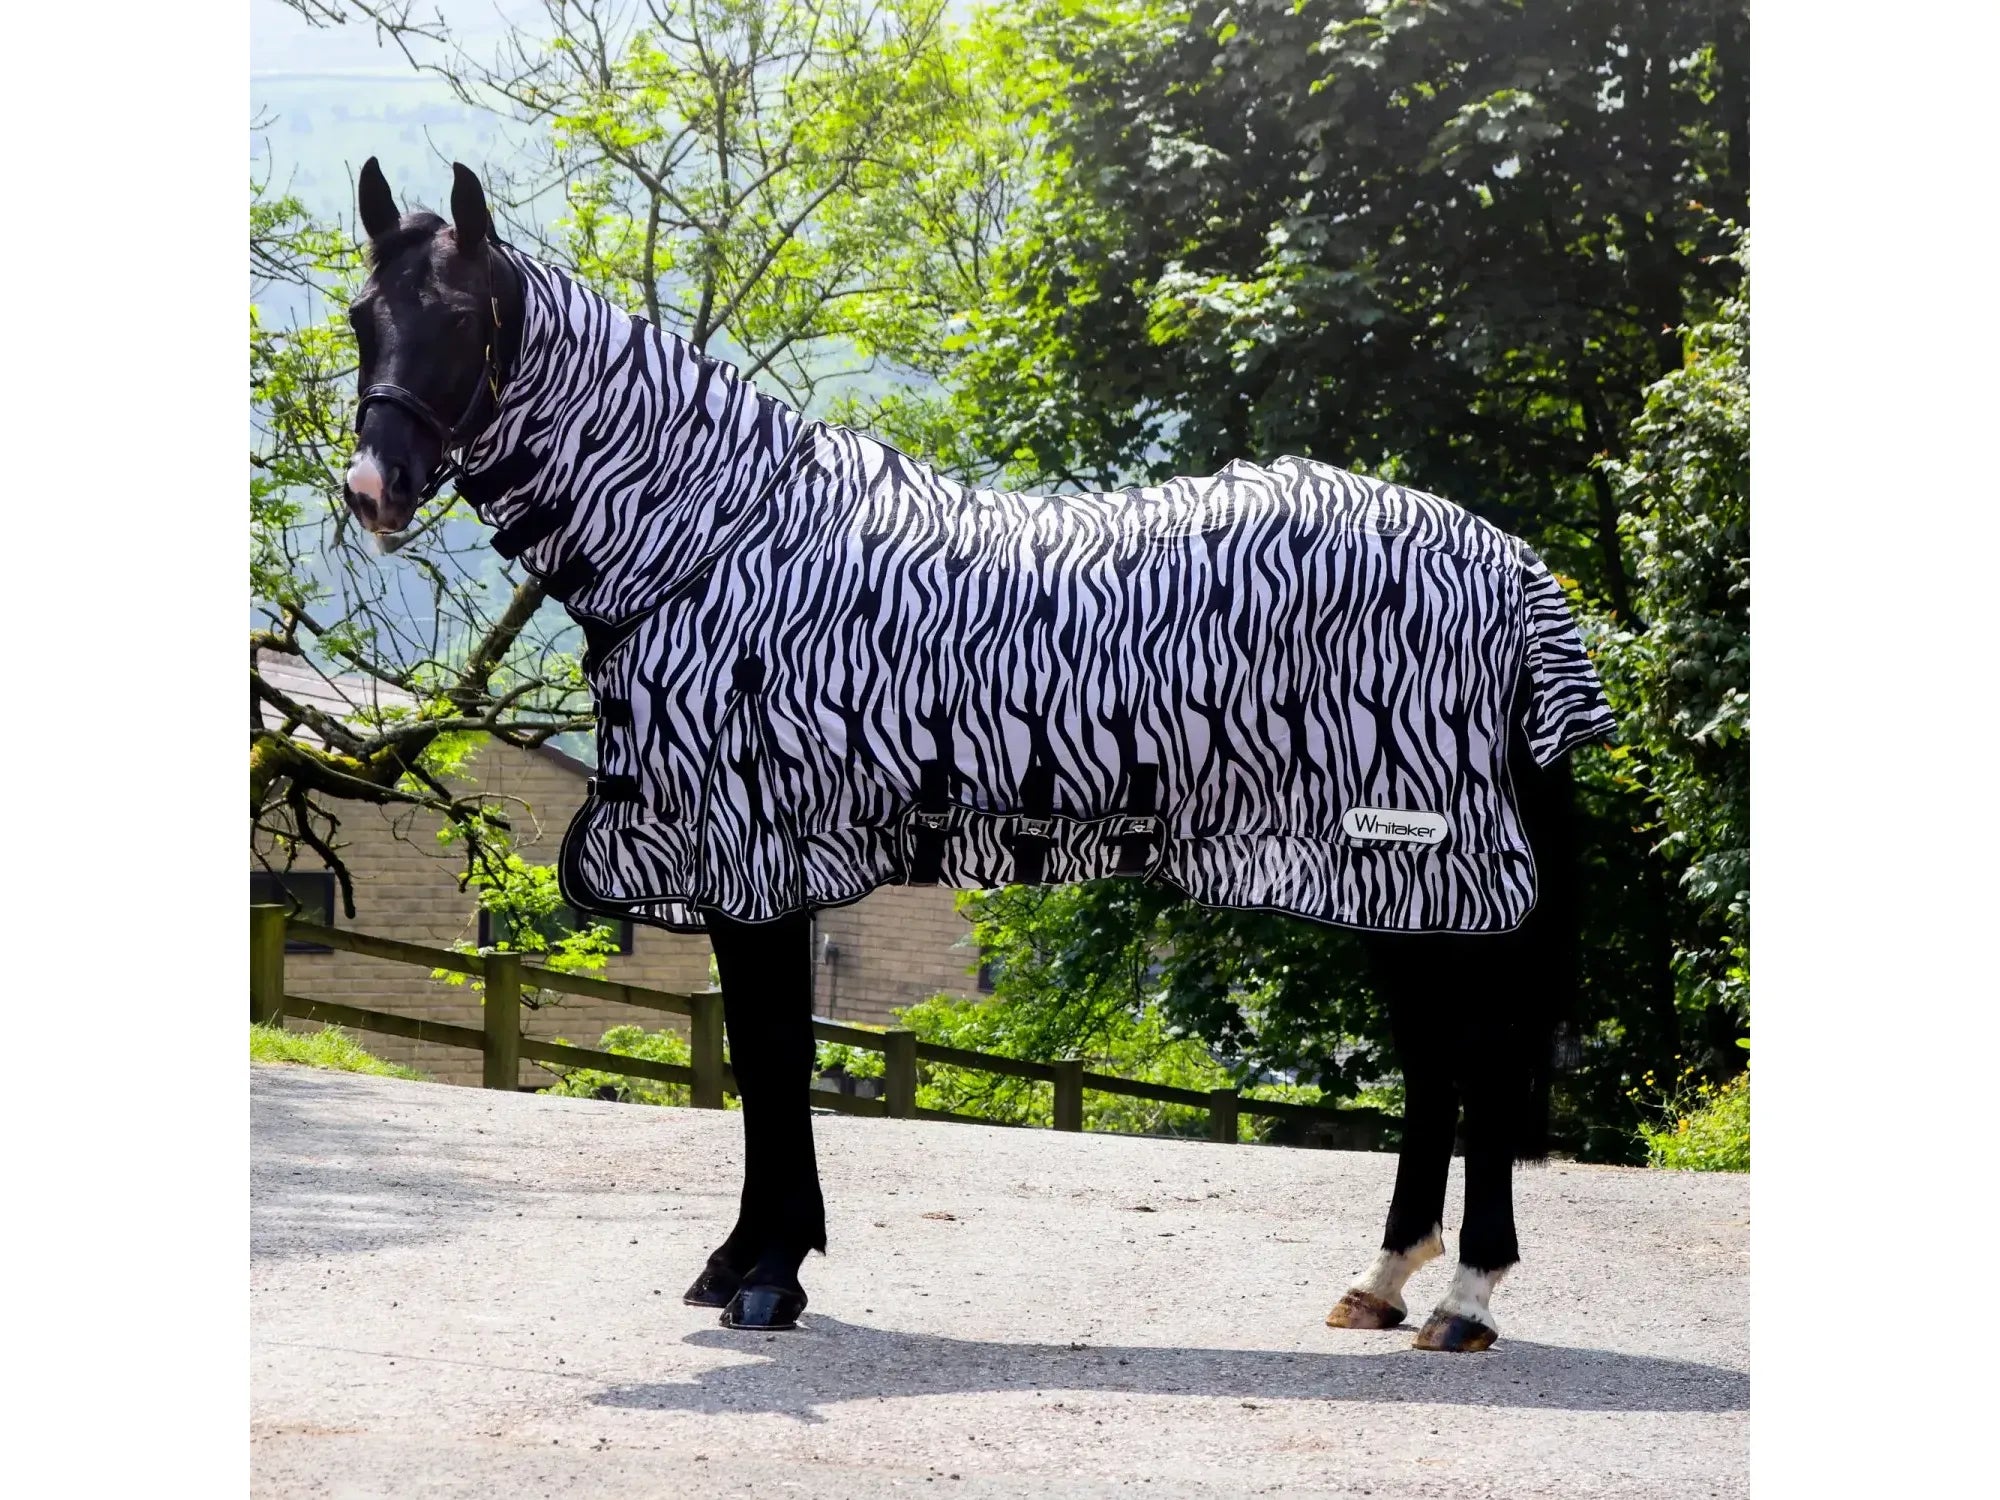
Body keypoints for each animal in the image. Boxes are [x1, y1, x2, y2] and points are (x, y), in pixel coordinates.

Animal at [343, 161, 1617, 1351]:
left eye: (462, 318)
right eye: (363, 316)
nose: (371, 490)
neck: (717, 542)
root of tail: (1508, 564)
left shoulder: (759, 857)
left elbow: (775, 1056)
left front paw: (770, 1274)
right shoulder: (741, 867)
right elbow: (759, 1056)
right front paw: (741, 1259)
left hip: (1434, 862)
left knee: (1480, 1060)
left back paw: (1464, 1296)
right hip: (1394, 879)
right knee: (1434, 1062)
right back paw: (1384, 1280)